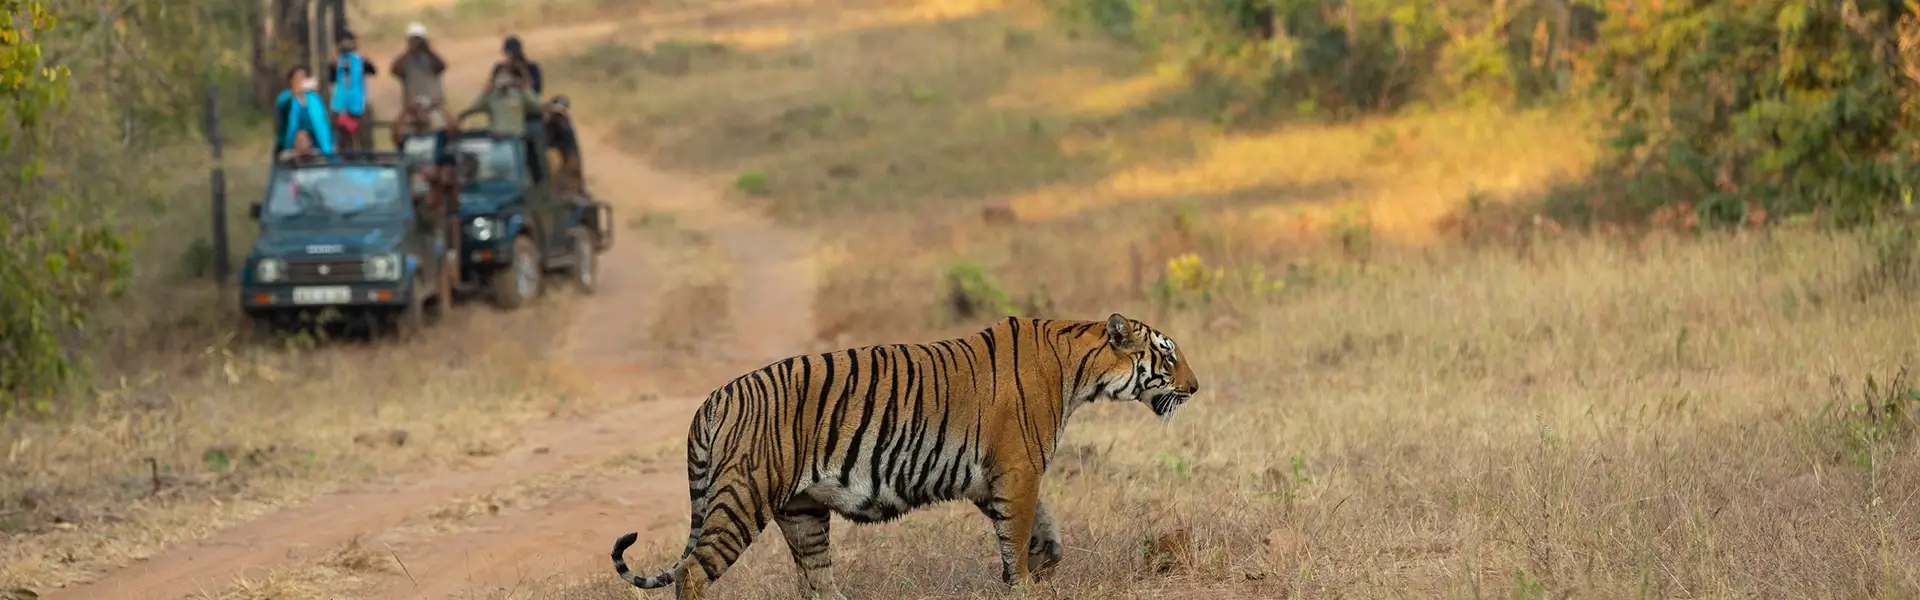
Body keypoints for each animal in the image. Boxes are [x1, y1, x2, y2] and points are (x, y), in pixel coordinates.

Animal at [608, 313, 1201, 599]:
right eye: (1168, 355)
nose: (1196, 388)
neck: (1080, 368)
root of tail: (713, 398)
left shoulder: (992, 479)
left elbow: (1044, 530)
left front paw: (1043, 564)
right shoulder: (1018, 469)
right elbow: (1018, 533)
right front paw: (1024, 585)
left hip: (802, 512)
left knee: (817, 581)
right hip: (744, 497)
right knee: (692, 573)